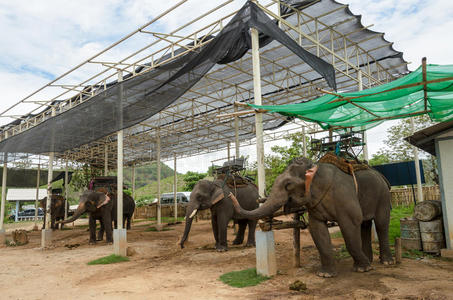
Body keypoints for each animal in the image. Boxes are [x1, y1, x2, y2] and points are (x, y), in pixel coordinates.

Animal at [230, 157, 392, 276]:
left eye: (288, 185)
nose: (231, 195)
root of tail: (381, 175)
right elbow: (317, 229)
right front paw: (325, 274)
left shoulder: (344, 196)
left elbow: (351, 224)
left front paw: (363, 269)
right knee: (365, 224)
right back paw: (370, 259)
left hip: (383, 196)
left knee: (381, 224)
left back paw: (385, 262)